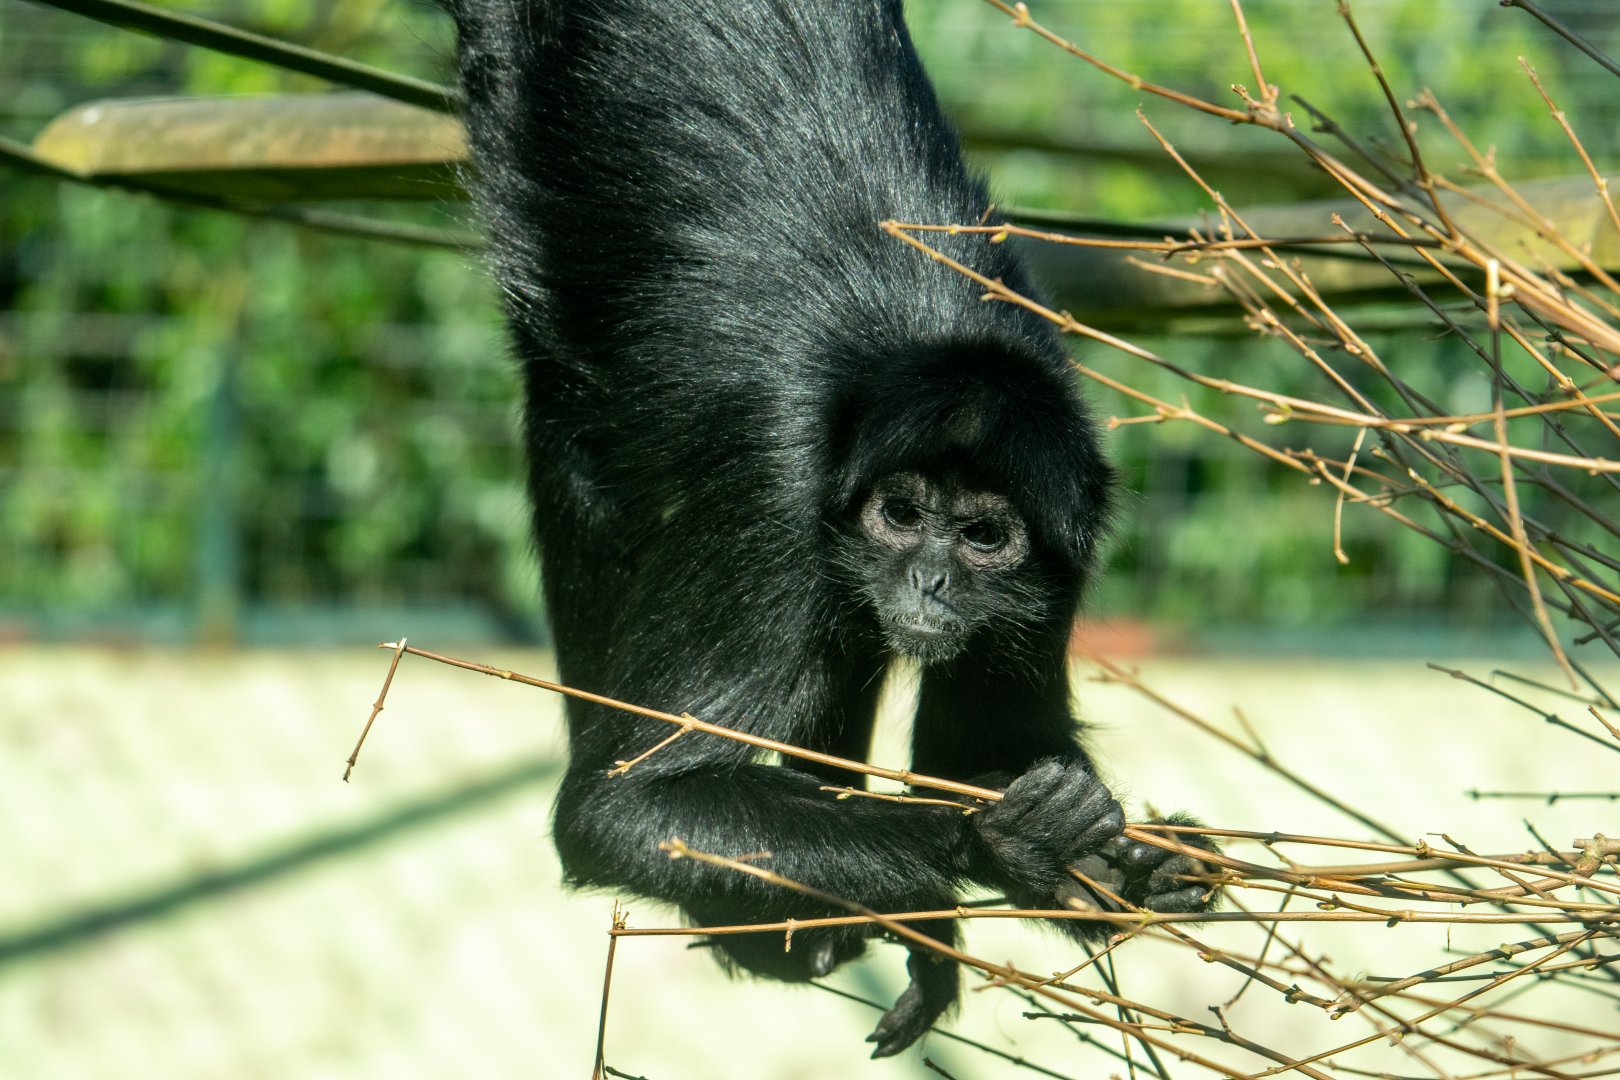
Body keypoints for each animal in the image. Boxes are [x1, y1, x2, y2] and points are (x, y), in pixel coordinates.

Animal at [441, 0, 1215, 1057]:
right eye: (903, 514)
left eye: (983, 538)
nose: (930, 579)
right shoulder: (776, 485)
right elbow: (618, 813)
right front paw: (1002, 845)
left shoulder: (1073, 528)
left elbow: (981, 751)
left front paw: (1121, 868)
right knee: (571, 415)